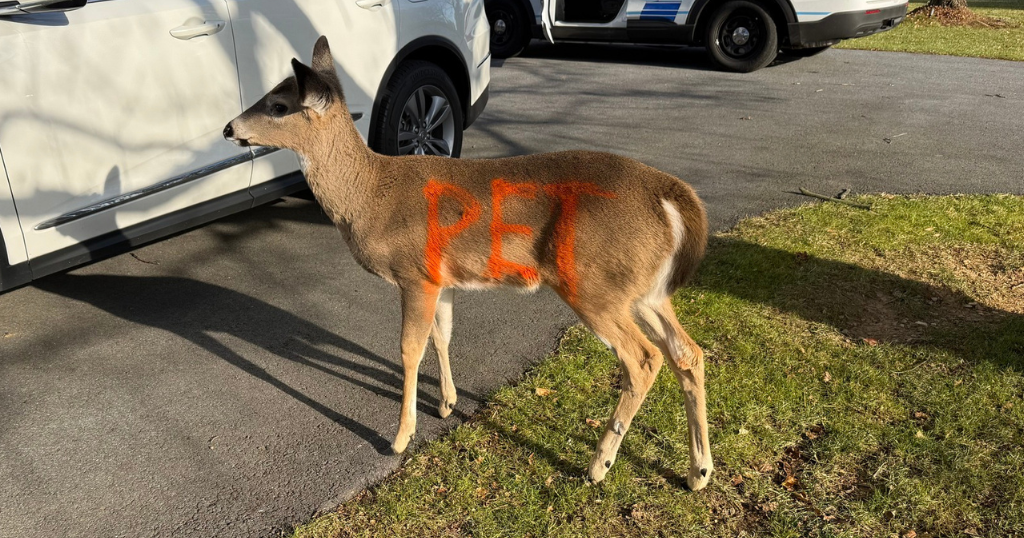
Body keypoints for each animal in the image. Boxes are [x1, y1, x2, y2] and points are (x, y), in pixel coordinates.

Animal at [223, 36, 713, 490]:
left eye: (279, 104)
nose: (228, 128)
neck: (370, 196)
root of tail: (671, 196)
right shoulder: (442, 279)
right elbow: (442, 335)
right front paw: (446, 403)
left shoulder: (415, 274)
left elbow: (409, 348)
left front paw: (401, 436)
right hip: (646, 290)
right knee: (688, 353)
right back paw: (699, 472)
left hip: (594, 282)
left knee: (644, 359)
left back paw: (599, 465)